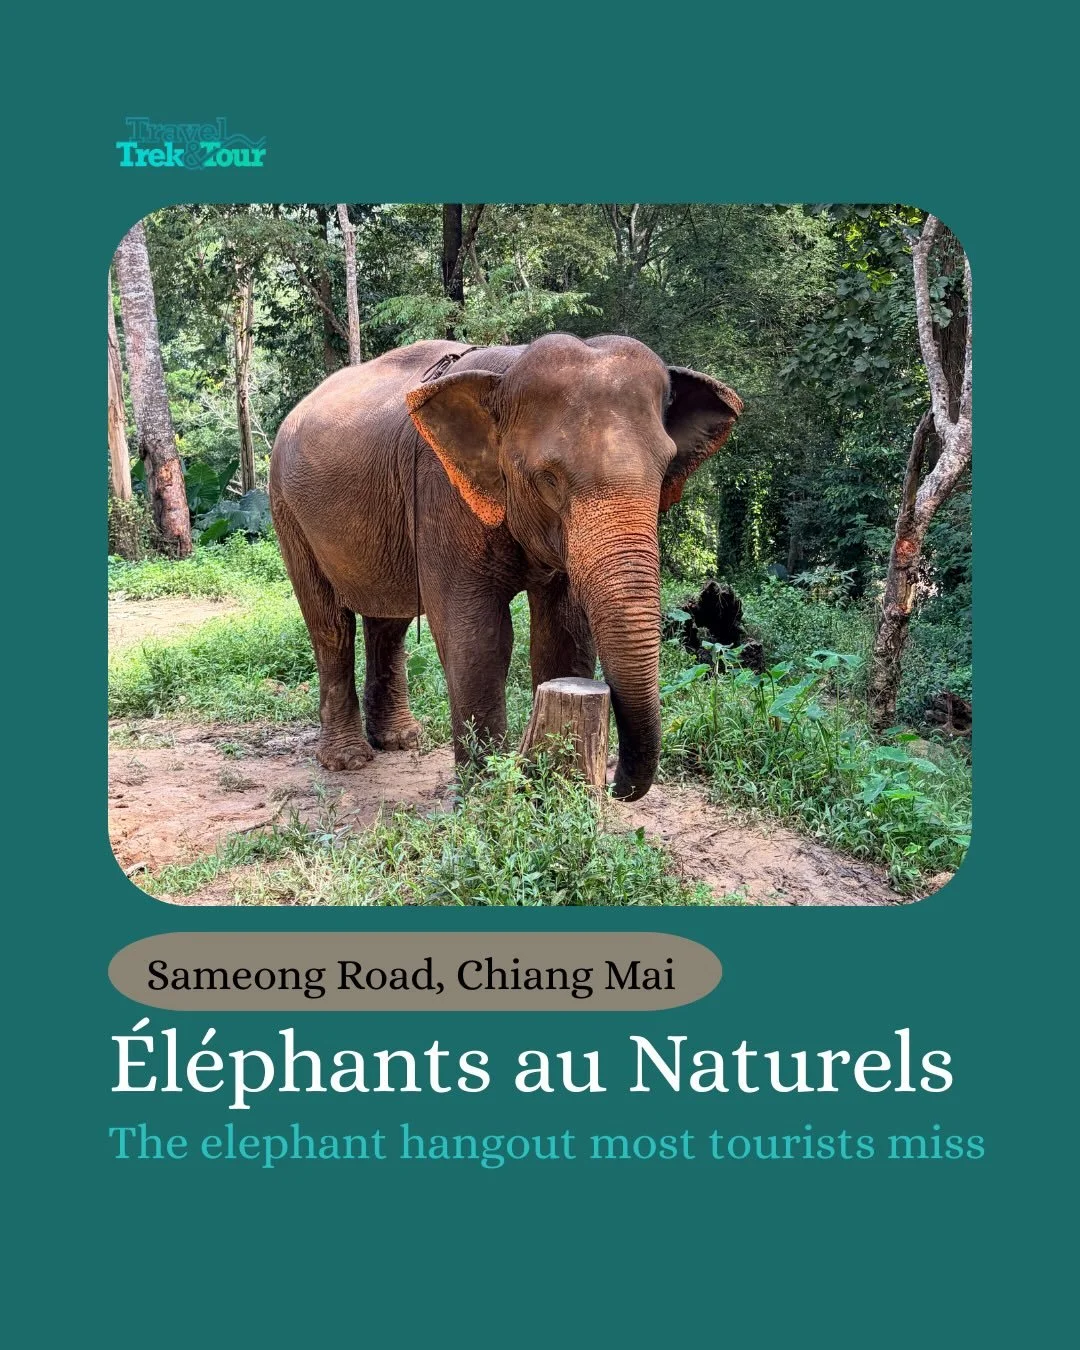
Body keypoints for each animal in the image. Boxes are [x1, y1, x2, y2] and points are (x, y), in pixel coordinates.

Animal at [269, 333, 741, 801]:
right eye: (549, 480)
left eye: (665, 472)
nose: (614, 786)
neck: (509, 368)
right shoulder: (442, 493)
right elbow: (478, 634)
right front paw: (485, 792)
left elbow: (564, 630)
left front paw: (550, 783)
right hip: (286, 511)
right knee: (330, 625)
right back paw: (348, 760)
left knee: (389, 620)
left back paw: (401, 741)